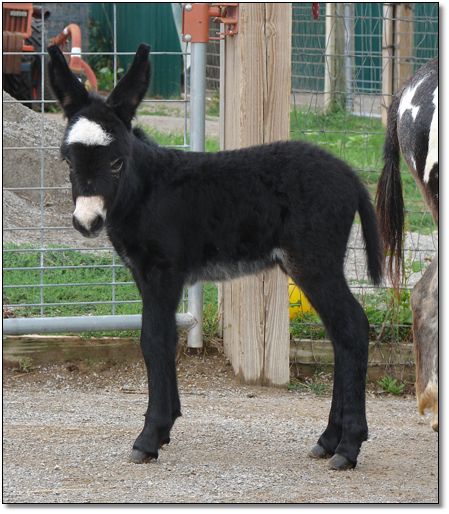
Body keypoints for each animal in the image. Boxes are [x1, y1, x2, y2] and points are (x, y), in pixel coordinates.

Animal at [48, 43, 383, 470]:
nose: (87, 222)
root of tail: (350, 175)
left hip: (314, 261)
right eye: (68, 160)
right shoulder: (143, 274)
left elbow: (155, 339)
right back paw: (328, 440)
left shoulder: (163, 272)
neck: (146, 190)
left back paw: (348, 447)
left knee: (352, 328)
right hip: (309, 265)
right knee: (340, 334)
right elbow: (160, 337)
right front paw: (166, 426)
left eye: (116, 161)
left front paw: (150, 437)